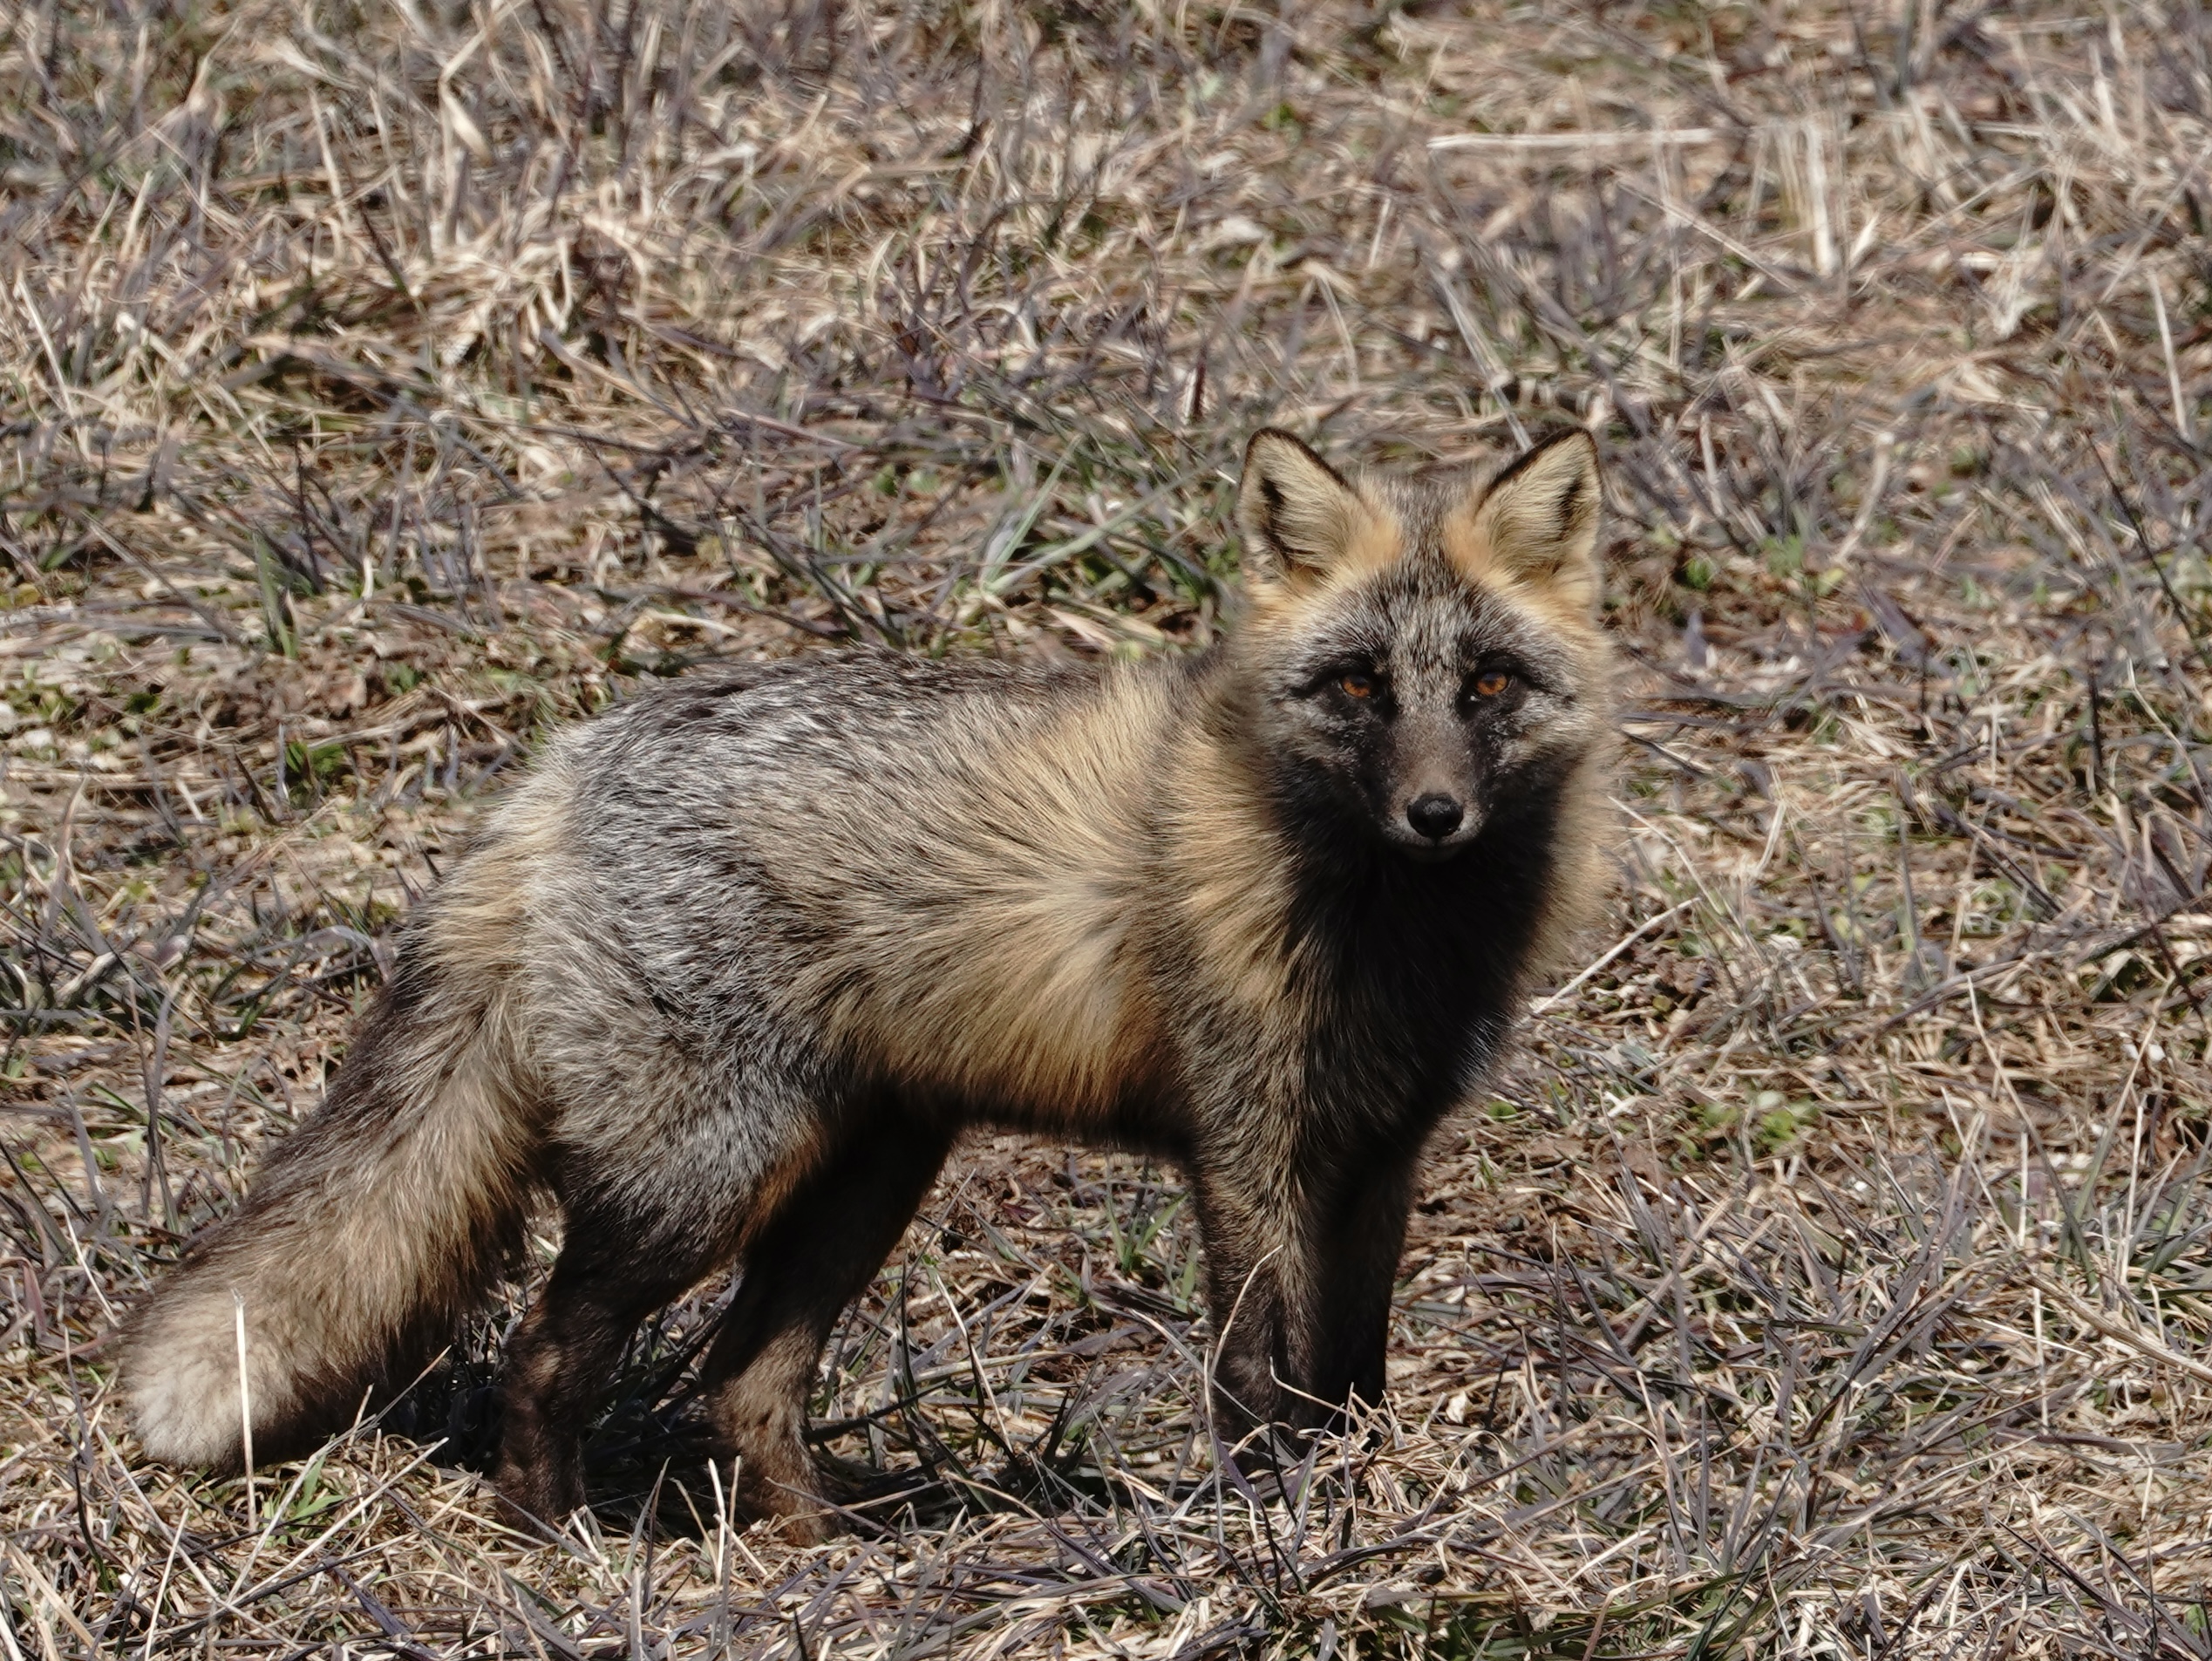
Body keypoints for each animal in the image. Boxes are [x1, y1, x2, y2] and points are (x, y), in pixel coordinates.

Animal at [119, 426, 1616, 1538]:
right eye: (1359, 687)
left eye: (1488, 685)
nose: (1435, 815)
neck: (1388, 933)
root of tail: (569, 756)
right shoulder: (1246, 1147)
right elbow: (1259, 1372)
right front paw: (1276, 1523)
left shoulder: (1381, 1153)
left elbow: (1354, 1372)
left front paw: (1358, 1504)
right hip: (703, 1181)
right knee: (542, 1356)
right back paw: (556, 1538)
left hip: (863, 1176)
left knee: (739, 1385)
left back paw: (821, 1548)